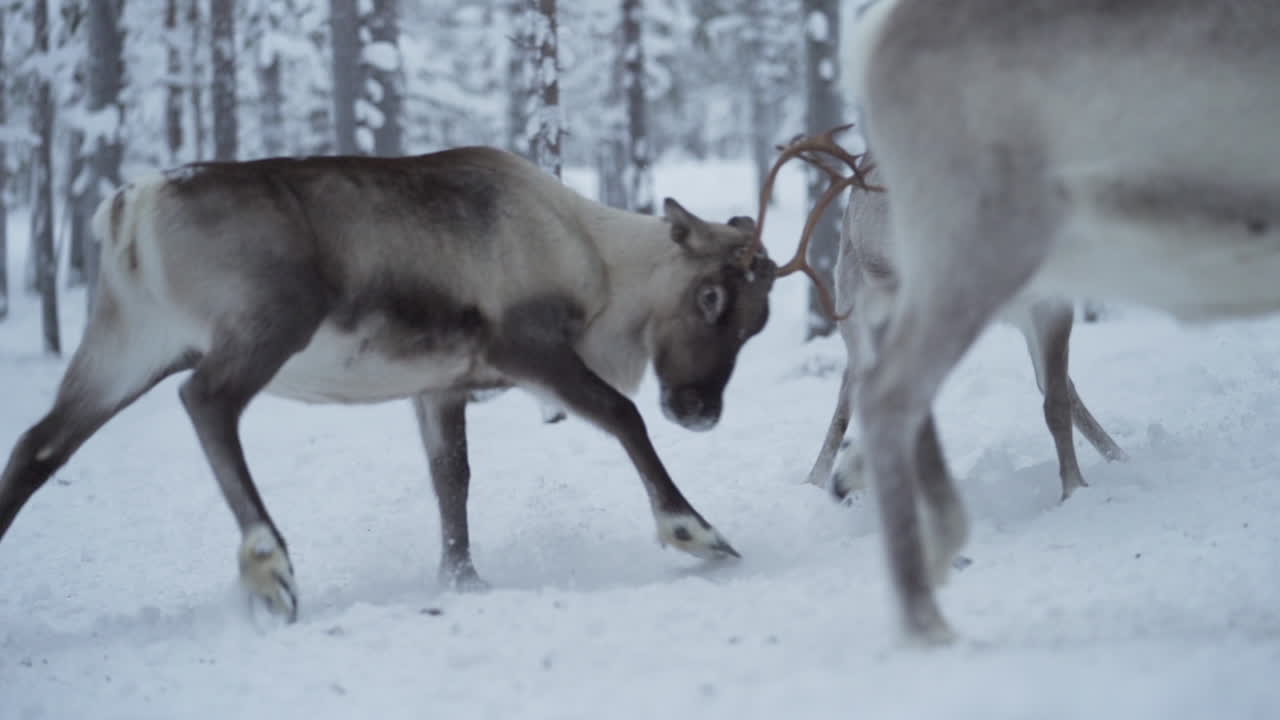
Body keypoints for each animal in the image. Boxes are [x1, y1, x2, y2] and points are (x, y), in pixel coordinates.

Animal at [0, 146, 777, 623]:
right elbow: (622, 415)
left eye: (759, 322)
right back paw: (269, 562)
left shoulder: (440, 387)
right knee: (206, 400)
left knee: (39, 445)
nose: (700, 410)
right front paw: (696, 531)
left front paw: (462, 578)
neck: (600, 261)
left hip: (128, 344)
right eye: (711, 296)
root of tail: (131, 206)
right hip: (265, 321)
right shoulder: (526, 347)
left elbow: (452, 478)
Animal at [804, 157, 1127, 502]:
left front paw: (1074, 488)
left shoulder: (1049, 304)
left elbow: (1057, 403)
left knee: (1060, 387)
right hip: (856, 312)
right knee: (850, 392)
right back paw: (817, 479)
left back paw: (1119, 456)